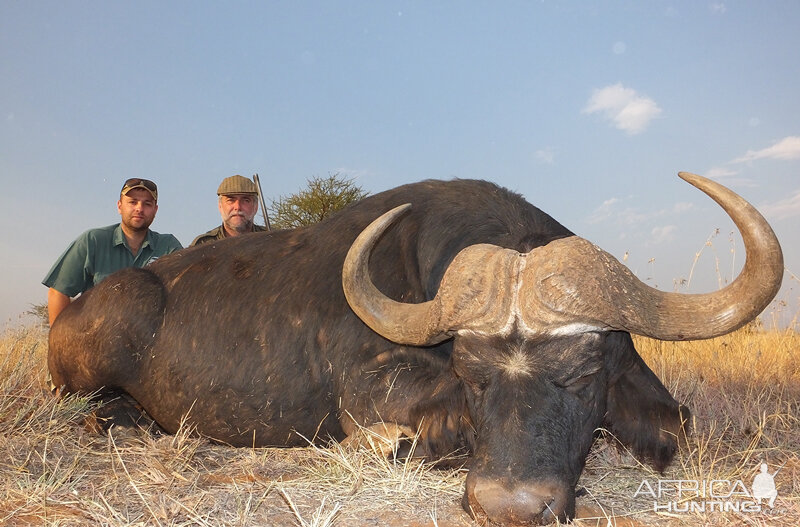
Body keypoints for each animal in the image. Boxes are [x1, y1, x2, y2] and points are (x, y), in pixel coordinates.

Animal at [48, 172, 780, 524]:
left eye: (583, 374)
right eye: (473, 373)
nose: (509, 507)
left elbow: (673, 425)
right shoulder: (371, 388)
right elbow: (427, 429)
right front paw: (393, 443)